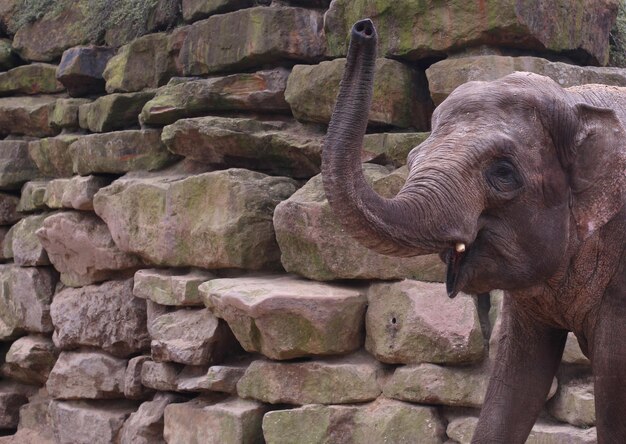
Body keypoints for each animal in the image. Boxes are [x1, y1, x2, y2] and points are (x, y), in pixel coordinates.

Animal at [322, 18, 624, 444]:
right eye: (412, 159)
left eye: (503, 173)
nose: (364, 28)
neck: (578, 103)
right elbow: (515, 375)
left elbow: (613, 382)